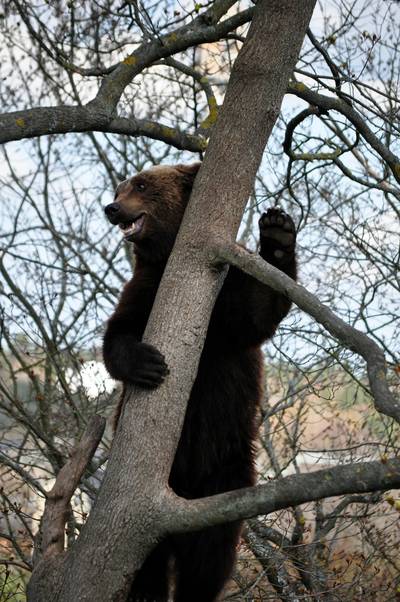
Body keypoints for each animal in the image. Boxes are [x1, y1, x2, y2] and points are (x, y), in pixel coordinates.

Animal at [103, 162, 296, 596]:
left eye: (141, 185)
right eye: (120, 187)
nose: (112, 207)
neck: (168, 259)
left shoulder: (226, 295)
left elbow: (254, 313)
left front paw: (277, 233)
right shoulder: (144, 287)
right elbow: (117, 335)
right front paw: (147, 363)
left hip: (225, 474)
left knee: (212, 553)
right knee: (148, 563)